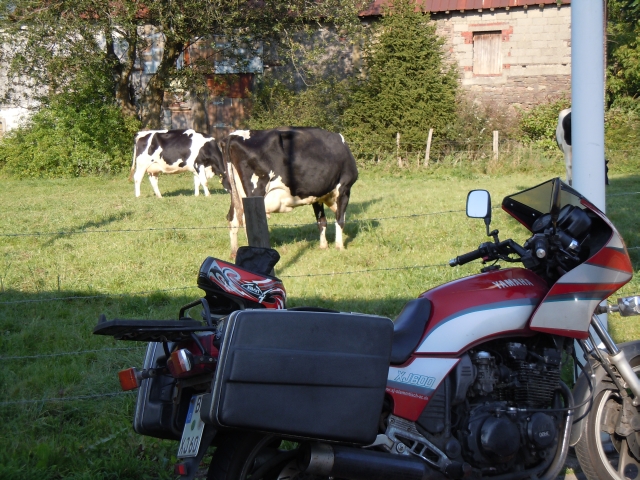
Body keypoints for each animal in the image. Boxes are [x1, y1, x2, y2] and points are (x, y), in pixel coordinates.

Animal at [222, 125, 358, 256]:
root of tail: (233, 135)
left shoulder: (317, 196)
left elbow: (322, 221)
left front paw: (323, 246)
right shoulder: (344, 188)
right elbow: (340, 220)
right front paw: (340, 247)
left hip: (236, 194)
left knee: (233, 218)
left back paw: (234, 253)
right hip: (256, 191)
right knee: (248, 221)